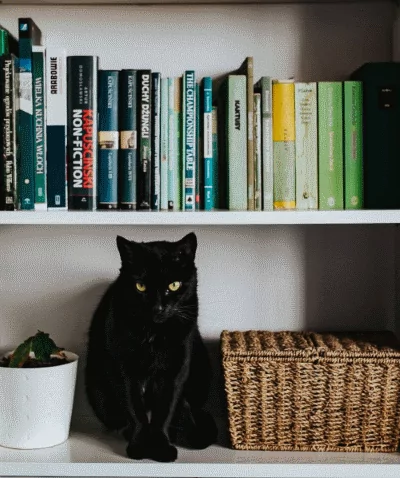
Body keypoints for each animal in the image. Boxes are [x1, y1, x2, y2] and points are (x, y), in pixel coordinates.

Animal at [83, 233, 217, 462]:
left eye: (174, 285)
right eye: (141, 286)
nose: (158, 307)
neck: (154, 335)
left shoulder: (176, 371)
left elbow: (165, 411)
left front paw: (161, 446)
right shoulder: (124, 371)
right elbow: (135, 410)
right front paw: (139, 445)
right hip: (98, 390)